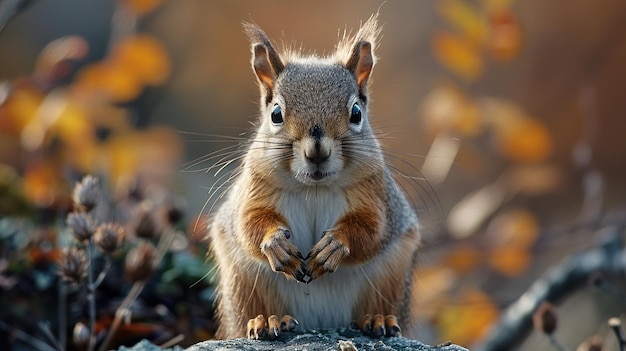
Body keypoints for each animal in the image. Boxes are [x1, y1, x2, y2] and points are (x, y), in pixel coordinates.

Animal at [206, 15, 420, 342]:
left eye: (356, 112)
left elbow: (372, 229)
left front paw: (334, 246)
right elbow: (250, 223)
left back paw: (377, 320)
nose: (317, 151)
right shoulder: (256, 188)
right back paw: (267, 321)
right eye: (276, 114)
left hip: (390, 278)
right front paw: (275, 245)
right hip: (245, 284)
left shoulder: (375, 196)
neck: (314, 188)